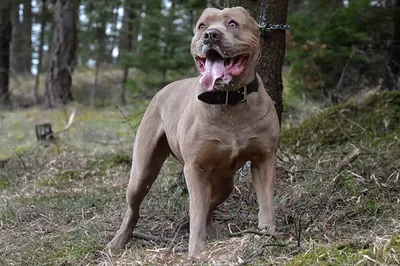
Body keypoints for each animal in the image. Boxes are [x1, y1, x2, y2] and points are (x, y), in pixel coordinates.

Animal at [108, 5, 280, 256]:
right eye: (201, 26)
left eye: (232, 23)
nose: (210, 35)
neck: (228, 101)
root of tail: (162, 90)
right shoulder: (195, 168)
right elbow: (196, 211)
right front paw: (197, 251)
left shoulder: (263, 159)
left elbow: (266, 202)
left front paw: (268, 235)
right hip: (142, 171)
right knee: (134, 207)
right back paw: (118, 241)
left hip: (224, 182)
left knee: (211, 202)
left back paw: (213, 231)